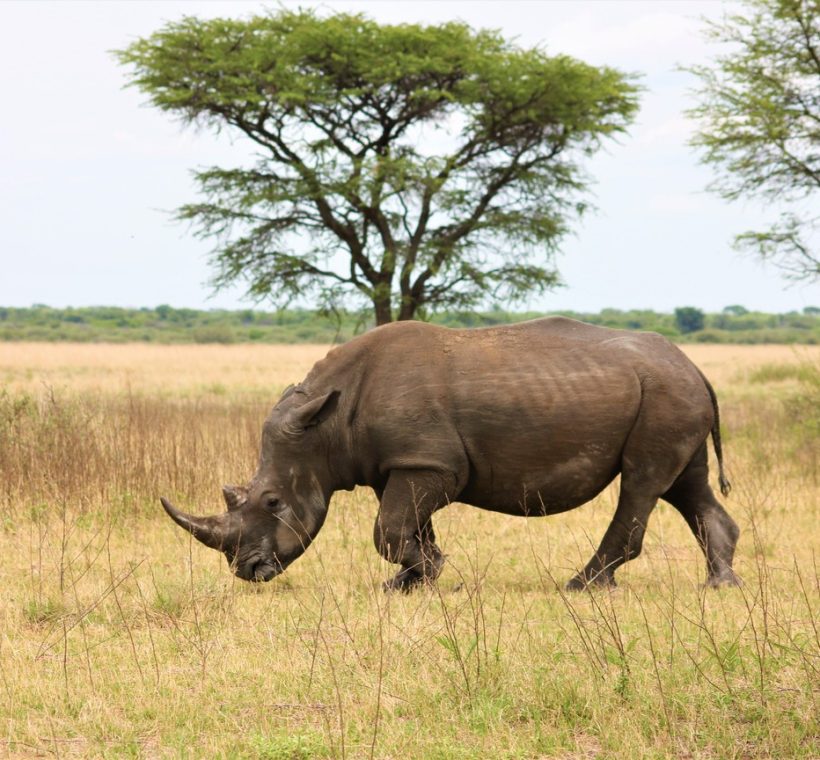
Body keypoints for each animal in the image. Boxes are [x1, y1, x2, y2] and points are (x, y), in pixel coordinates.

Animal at [161, 317, 740, 591]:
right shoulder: (405, 463)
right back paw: (720, 585)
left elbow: (389, 530)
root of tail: (695, 366)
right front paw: (410, 582)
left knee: (642, 482)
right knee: (684, 485)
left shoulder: (429, 463)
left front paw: (432, 574)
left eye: (274, 502)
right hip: (671, 393)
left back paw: (583, 587)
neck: (324, 427)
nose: (248, 571)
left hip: (664, 394)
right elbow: (408, 528)